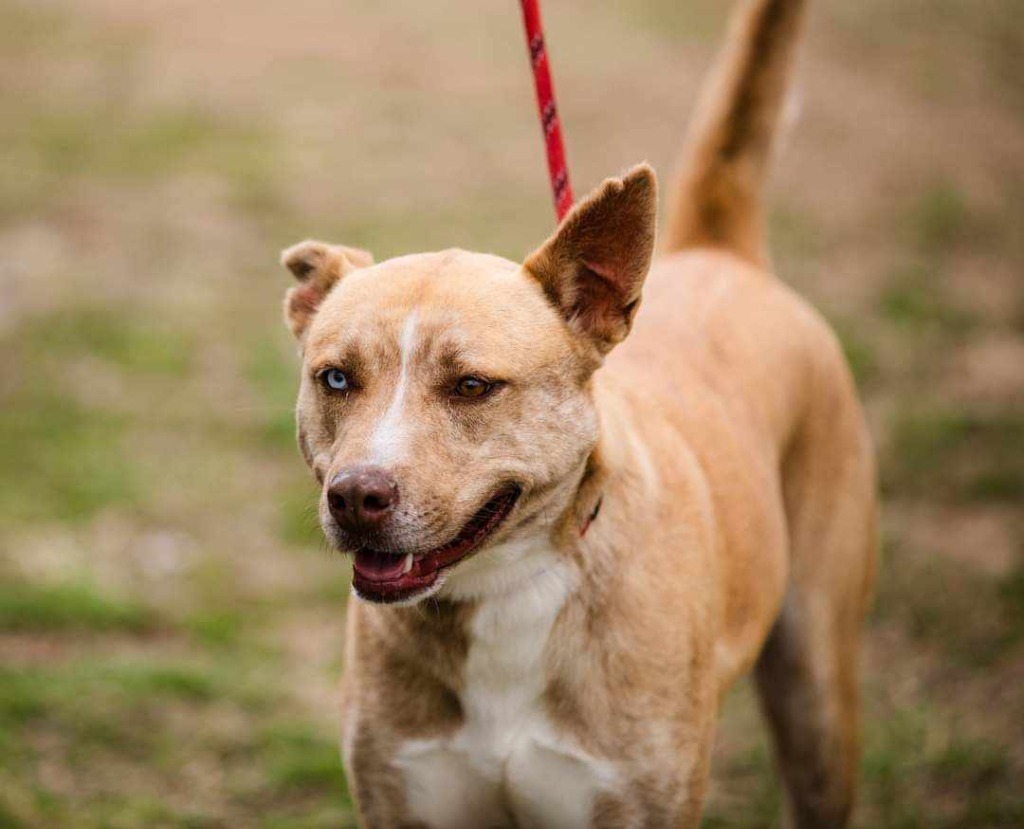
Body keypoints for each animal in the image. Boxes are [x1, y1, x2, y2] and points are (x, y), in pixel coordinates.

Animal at [282, 0, 880, 822]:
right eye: (336, 379)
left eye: (472, 386)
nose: (355, 497)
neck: (501, 594)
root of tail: (720, 251)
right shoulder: (401, 793)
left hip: (816, 693)